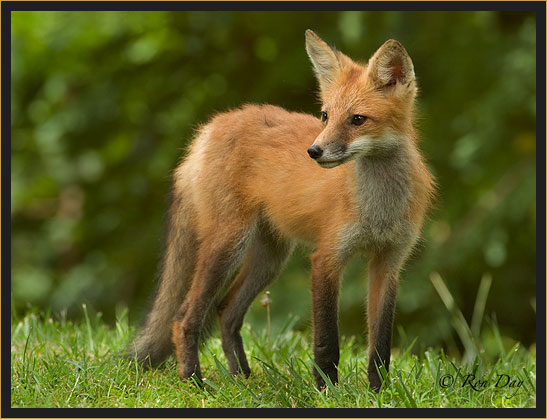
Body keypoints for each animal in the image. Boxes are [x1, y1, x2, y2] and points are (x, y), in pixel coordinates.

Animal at [131, 28, 434, 390]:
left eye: (358, 119)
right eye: (325, 116)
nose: (314, 151)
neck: (379, 211)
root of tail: (209, 127)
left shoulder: (388, 263)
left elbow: (381, 344)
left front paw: (378, 391)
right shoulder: (327, 258)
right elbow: (326, 341)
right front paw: (326, 390)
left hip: (270, 257)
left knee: (226, 311)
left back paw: (242, 379)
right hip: (228, 244)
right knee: (184, 316)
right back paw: (195, 382)